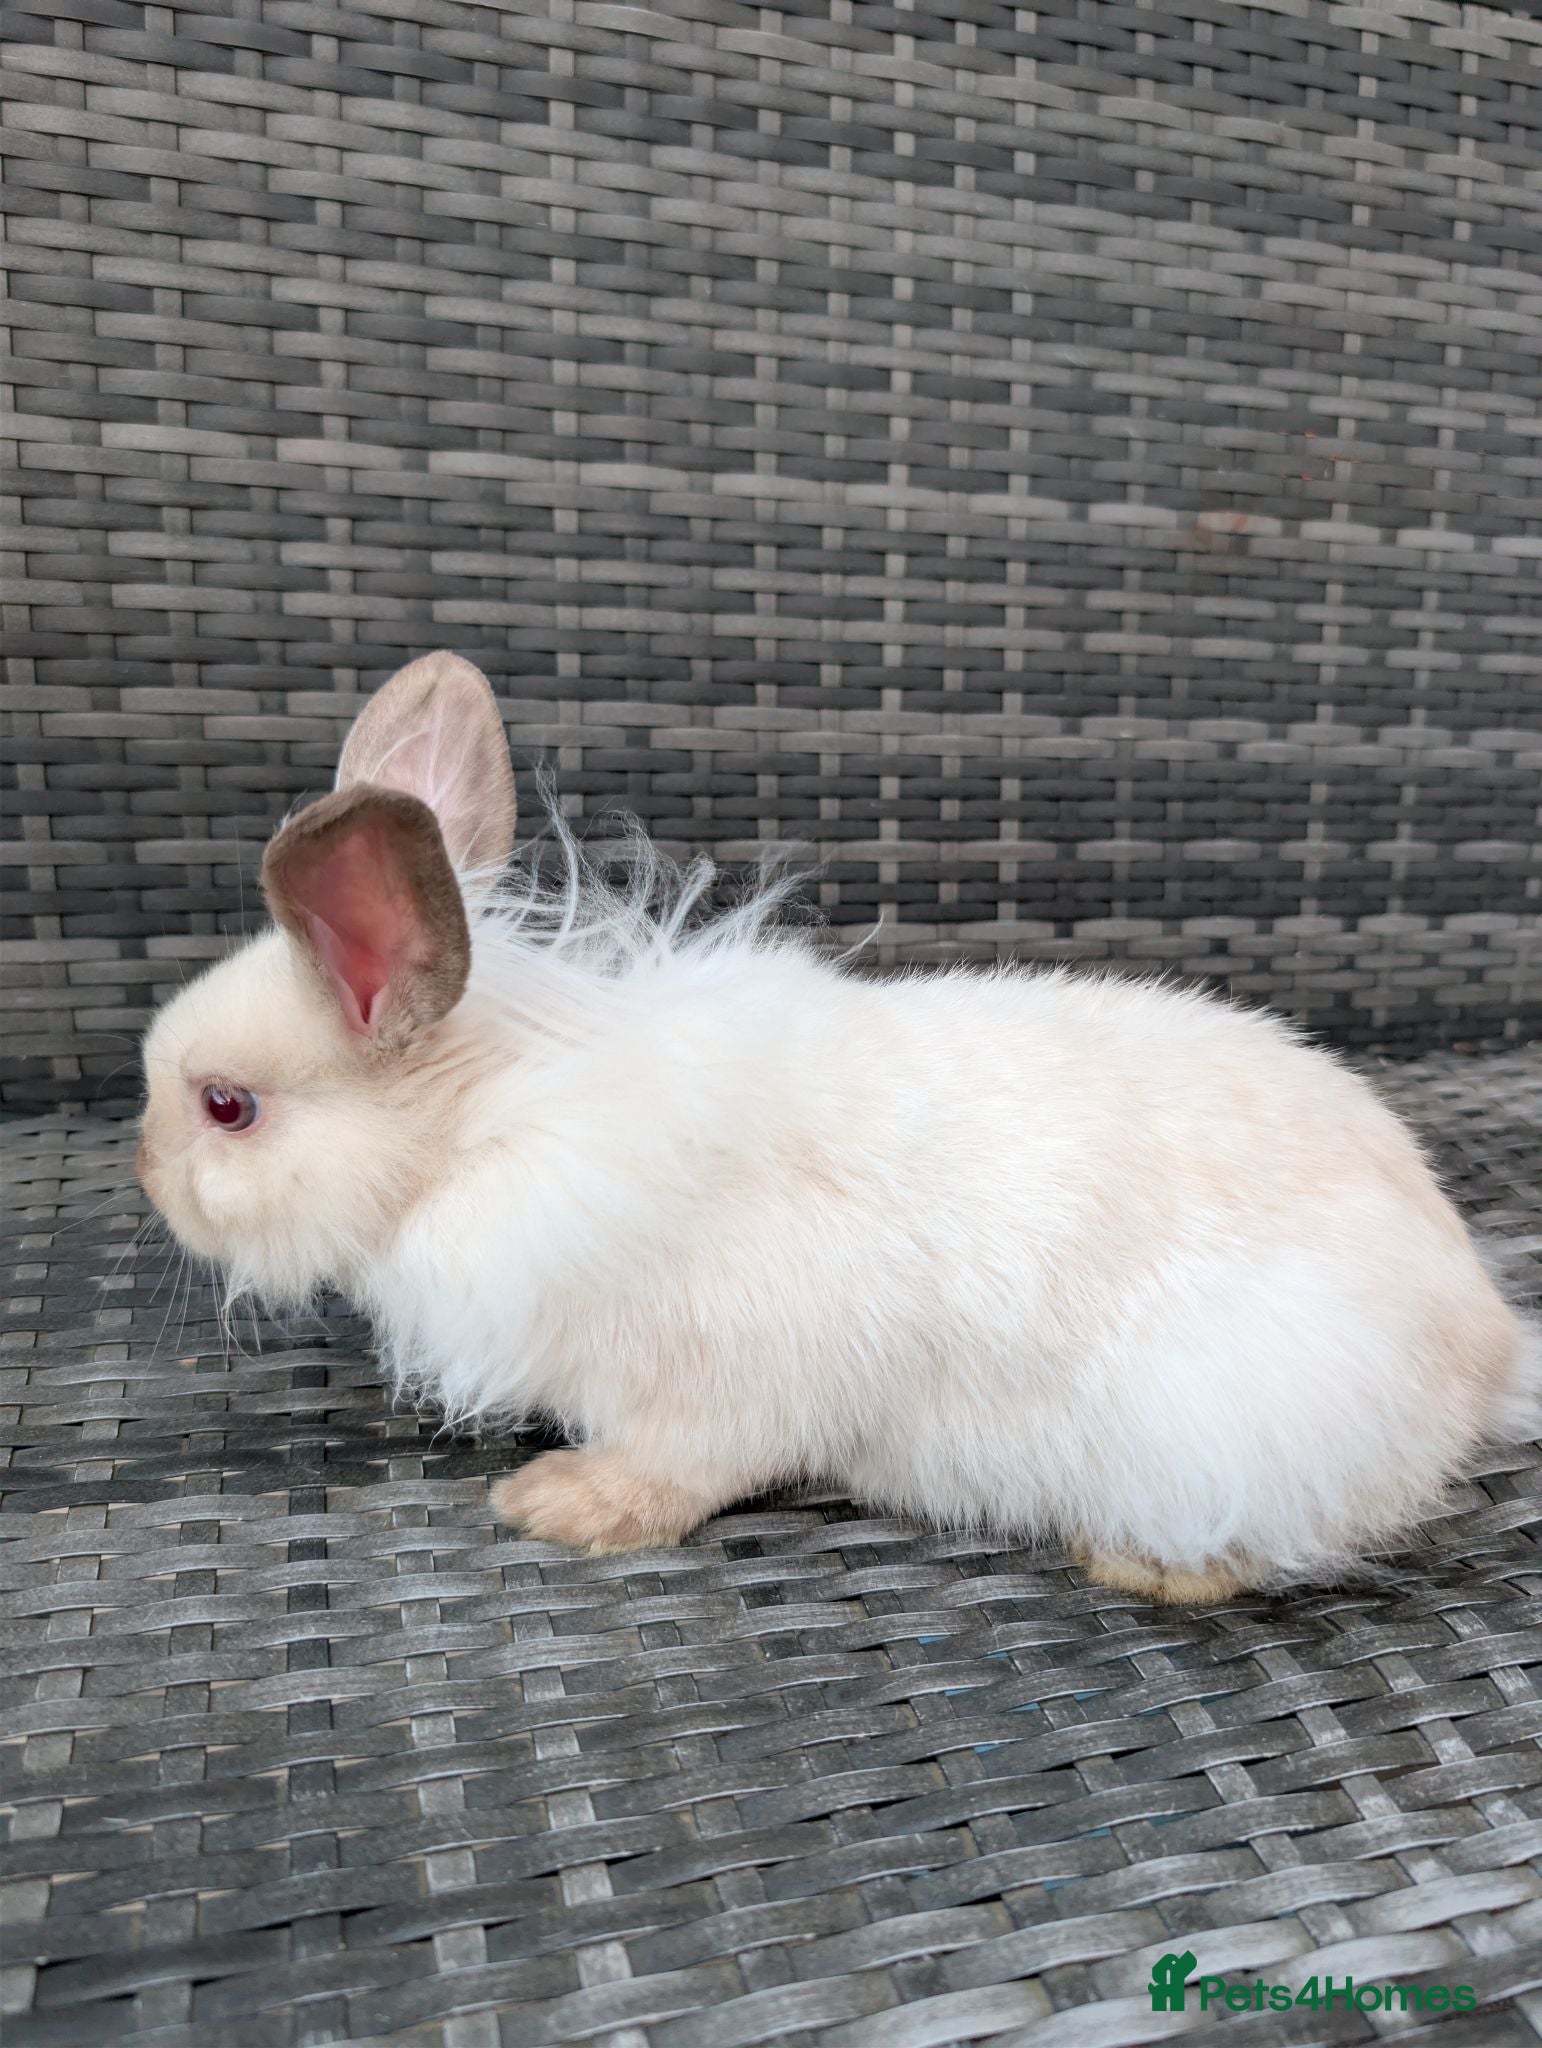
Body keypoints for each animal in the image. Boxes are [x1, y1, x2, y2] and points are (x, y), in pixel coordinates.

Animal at [137, 651, 1540, 1602]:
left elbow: (686, 1468)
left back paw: (1143, 1562)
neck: (493, 1129)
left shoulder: (726, 1386)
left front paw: (562, 1504)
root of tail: (1483, 1347)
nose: (146, 1172)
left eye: (226, 1105)